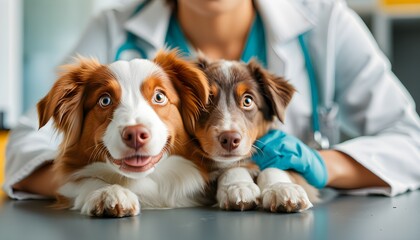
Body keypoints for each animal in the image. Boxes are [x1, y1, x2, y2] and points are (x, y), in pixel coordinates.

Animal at [191, 58, 318, 212]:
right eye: (207, 100)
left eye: (247, 101)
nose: (230, 139)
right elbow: (231, 167)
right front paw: (238, 185)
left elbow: (276, 166)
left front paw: (281, 187)